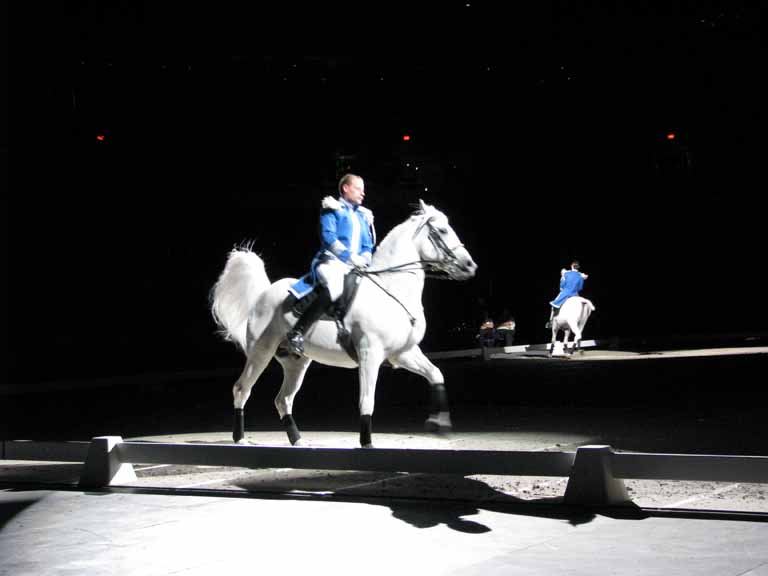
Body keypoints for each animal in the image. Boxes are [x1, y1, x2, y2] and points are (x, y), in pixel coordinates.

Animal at [210, 200, 474, 448]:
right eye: (442, 230)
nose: (470, 266)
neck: (390, 290)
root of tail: (264, 293)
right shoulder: (370, 354)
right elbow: (367, 400)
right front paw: (367, 443)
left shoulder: (403, 353)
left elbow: (436, 374)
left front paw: (439, 423)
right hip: (260, 352)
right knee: (242, 389)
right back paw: (240, 439)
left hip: (296, 362)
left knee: (283, 400)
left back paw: (297, 440)